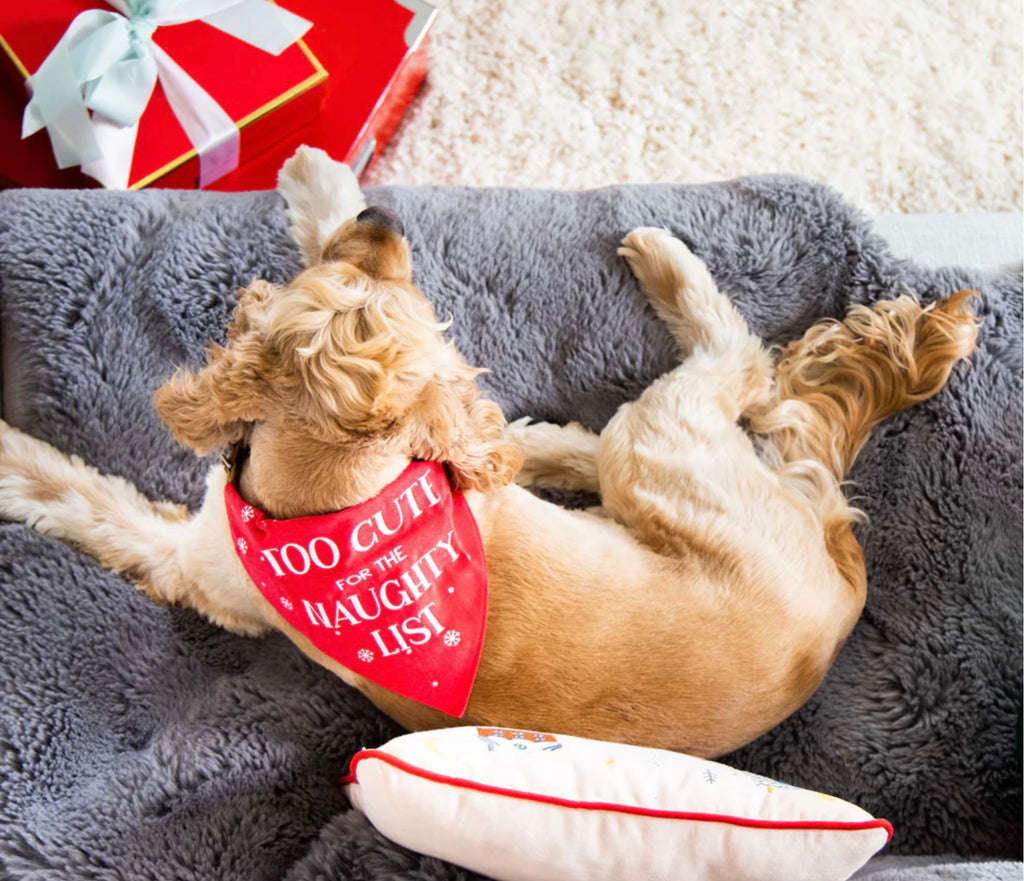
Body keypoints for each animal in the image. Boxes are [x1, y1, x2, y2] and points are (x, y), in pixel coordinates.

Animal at [0, 149, 978, 758]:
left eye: (370, 270)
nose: (383, 210)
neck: (344, 490)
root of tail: (843, 576)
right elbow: (488, 434)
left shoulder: (193, 563)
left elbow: (82, 495)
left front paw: (316, 180)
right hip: (665, 464)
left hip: (659, 446)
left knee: (741, 360)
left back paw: (663, 256)